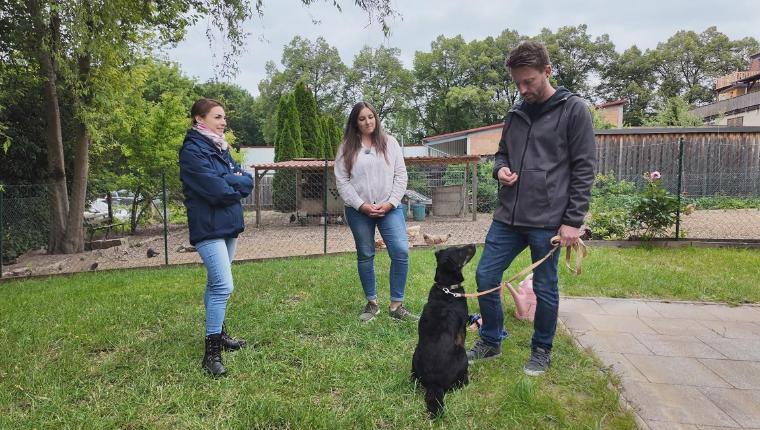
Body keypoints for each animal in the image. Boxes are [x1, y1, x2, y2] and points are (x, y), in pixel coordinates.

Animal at [416, 244, 476, 418]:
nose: (473, 244)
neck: (446, 288)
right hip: (461, 353)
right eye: (460, 251)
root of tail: (434, 384)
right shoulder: (462, 329)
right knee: (461, 383)